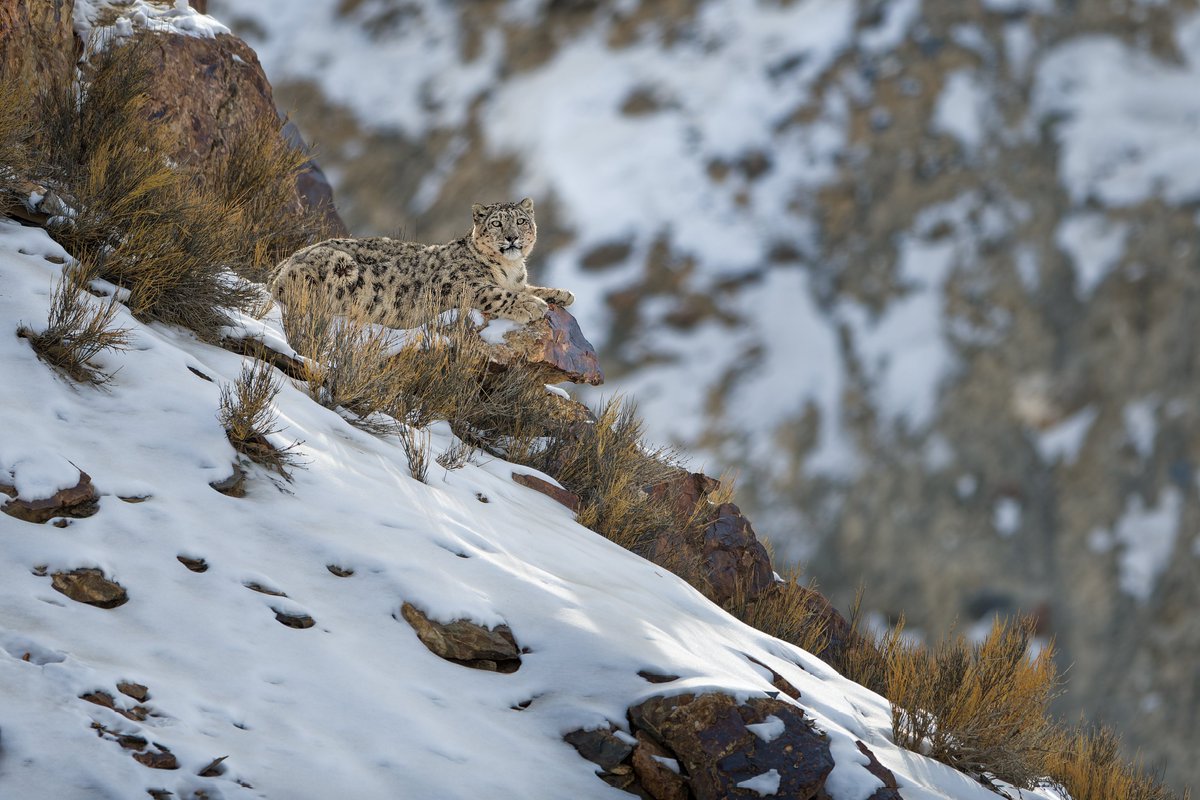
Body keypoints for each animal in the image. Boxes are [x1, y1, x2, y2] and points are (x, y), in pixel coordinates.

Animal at [270, 198, 574, 327]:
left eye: (521, 220)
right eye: (497, 223)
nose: (512, 237)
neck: (510, 269)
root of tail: (280, 265)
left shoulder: (518, 281)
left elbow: (527, 287)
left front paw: (562, 293)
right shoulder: (458, 284)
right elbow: (496, 293)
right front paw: (532, 306)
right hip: (340, 265)